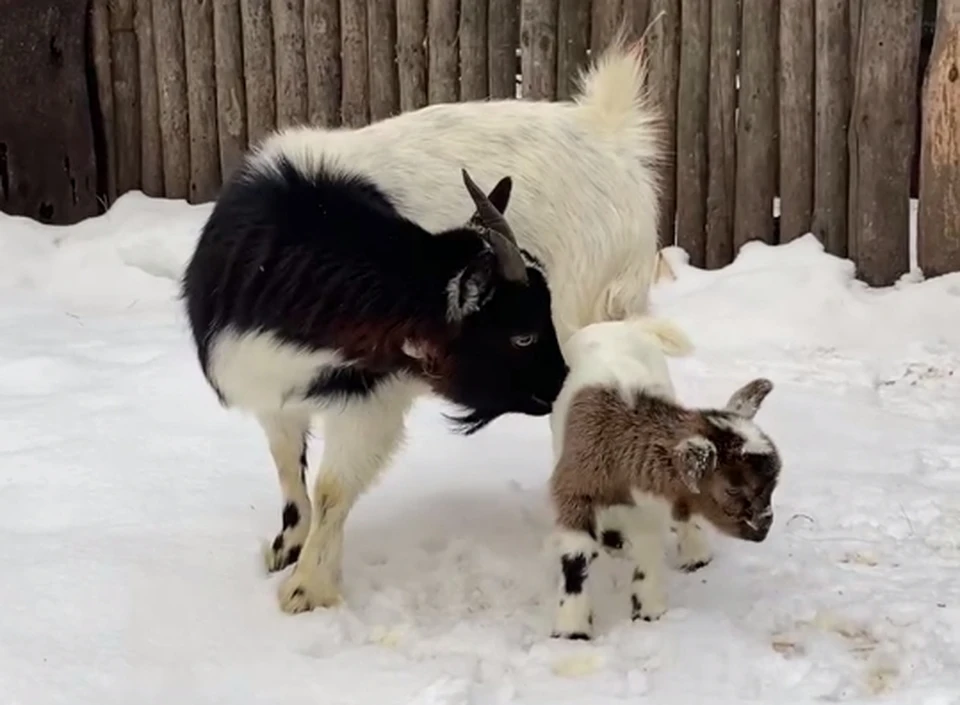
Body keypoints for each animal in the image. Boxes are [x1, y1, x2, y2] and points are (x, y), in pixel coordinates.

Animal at [180, 153, 568, 612]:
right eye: (523, 336)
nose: (562, 382)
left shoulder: (368, 397)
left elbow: (332, 489)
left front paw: (306, 588)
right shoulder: (270, 391)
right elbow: (287, 464)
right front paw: (287, 550)